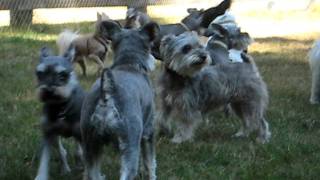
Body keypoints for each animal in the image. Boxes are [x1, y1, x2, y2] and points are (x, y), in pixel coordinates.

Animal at [34, 45, 85, 179]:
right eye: (40, 74)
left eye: (62, 75)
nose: (48, 91)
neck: (60, 107)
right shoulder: (48, 133)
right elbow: (44, 160)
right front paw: (41, 176)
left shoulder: (81, 133)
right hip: (56, 137)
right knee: (62, 152)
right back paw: (66, 169)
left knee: (78, 150)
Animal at [80, 20, 159, 180]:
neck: (129, 64)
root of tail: (107, 94)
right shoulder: (148, 132)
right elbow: (150, 163)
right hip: (130, 146)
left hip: (91, 146)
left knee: (92, 173)